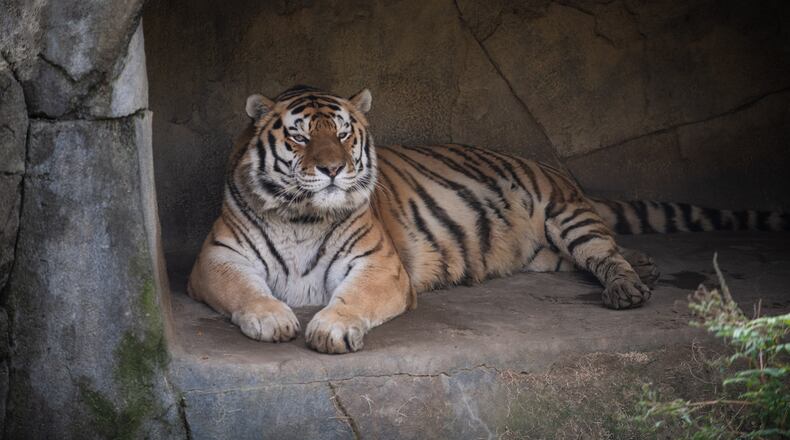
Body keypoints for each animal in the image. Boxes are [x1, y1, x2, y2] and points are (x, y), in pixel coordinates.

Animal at [187, 85, 789, 354]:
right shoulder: (217, 259)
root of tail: (554, 169)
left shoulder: (379, 265)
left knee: (605, 254)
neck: (303, 216)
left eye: (342, 132)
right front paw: (273, 318)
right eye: (298, 137)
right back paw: (646, 269)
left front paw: (330, 327)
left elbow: (351, 299)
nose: (333, 169)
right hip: (547, 253)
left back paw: (629, 288)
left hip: (567, 216)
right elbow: (246, 291)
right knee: (602, 254)